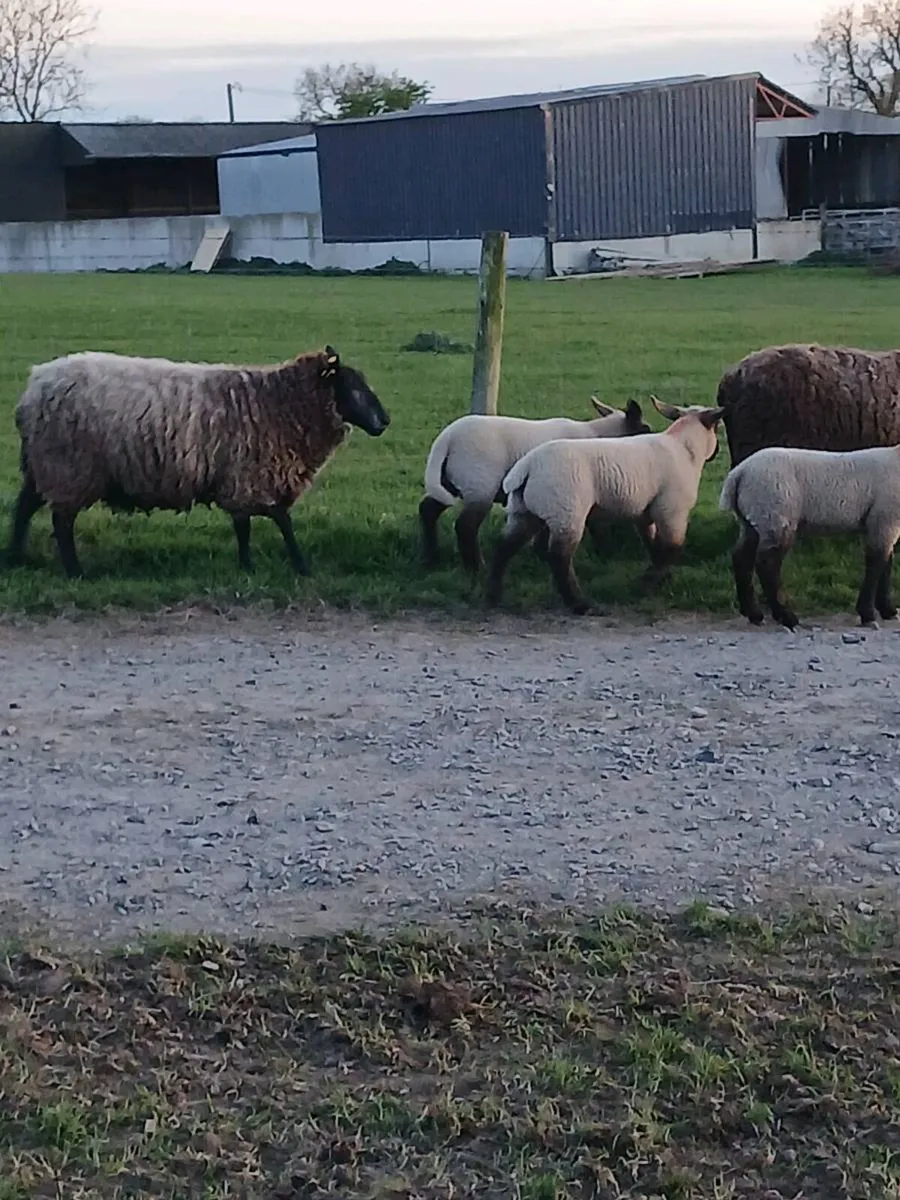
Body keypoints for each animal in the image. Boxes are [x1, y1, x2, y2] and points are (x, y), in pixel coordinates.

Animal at [7, 345, 390, 580]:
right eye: (353, 387)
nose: (384, 422)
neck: (279, 402)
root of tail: (33, 387)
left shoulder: (240, 477)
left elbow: (244, 525)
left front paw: (247, 565)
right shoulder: (250, 475)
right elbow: (280, 520)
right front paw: (299, 565)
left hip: (45, 466)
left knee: (24, 507)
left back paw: (14, 556)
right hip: (69, 467)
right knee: (61, 521)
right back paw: (75, 571)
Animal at [418, 397, 650, 573]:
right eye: (645, 428)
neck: (599, 436)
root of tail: (447, 438)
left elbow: (544, 530)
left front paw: (539, 555)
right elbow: (595, 526)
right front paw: (605, 553)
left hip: (449, 483)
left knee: (428, 510)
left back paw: (432, 558)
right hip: (480, 485)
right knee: (465, 526)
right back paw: (475, 568)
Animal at [485, 398, 725, 614]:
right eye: (716, 427)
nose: (717, 452)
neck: (684, 448)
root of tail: (527, 467)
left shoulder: (645, 513)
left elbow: (653, 545)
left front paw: (660, 578)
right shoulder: (672, 510)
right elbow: (670, 547)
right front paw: (647, 585)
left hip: (524, 512)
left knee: (504, 547)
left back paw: (495, 595)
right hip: (567, 512)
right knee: (559, 558)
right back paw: (579, 604)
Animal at [719, 444, 900, 629]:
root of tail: (739, 473)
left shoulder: (887, 524)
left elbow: (886, 563)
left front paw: (888, 611)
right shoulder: (884, 519)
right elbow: (876, 565)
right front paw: (868, 614)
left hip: (752, 522)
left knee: (741, 558)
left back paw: (754, 614)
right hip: (776, 515)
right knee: (767, 566)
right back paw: (787, 617)